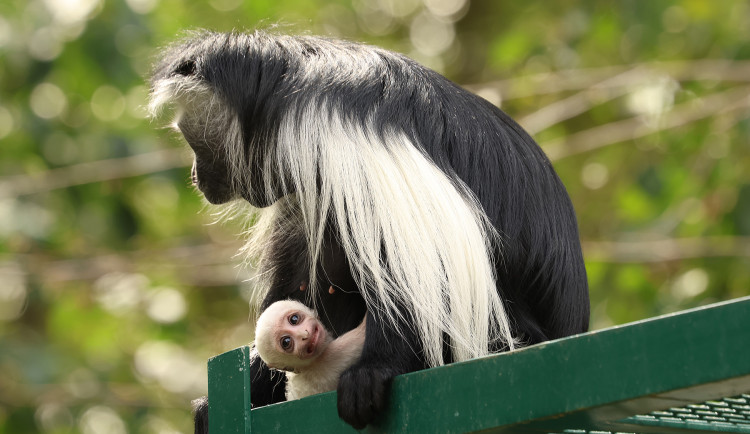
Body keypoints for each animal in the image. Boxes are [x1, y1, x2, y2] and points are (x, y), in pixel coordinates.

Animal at [148, 30, 592, 430]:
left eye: (191, 139)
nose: (195, 176)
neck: (283, 97)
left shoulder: (334, 145)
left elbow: (419, 274)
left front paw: (374, 372)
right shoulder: (307, 189)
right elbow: (303, 279)